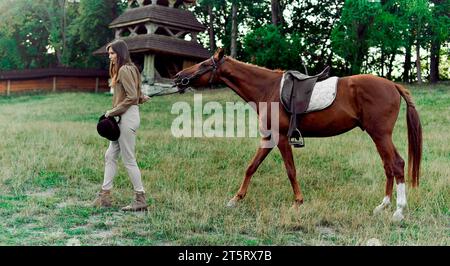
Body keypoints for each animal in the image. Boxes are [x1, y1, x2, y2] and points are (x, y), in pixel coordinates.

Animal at [173, 48, 422, 221]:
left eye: (204, 64)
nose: (177, 77)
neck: (268, 89)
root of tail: (393, 85)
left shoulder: (282, 138)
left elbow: (290, 170)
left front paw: (298, 202)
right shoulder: (269, 138)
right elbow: (251, 167)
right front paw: (236, 199)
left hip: (381, 134)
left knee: (397, 164)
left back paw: (398, 211)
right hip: (378, 136)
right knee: (388, 166)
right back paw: (383, 205)